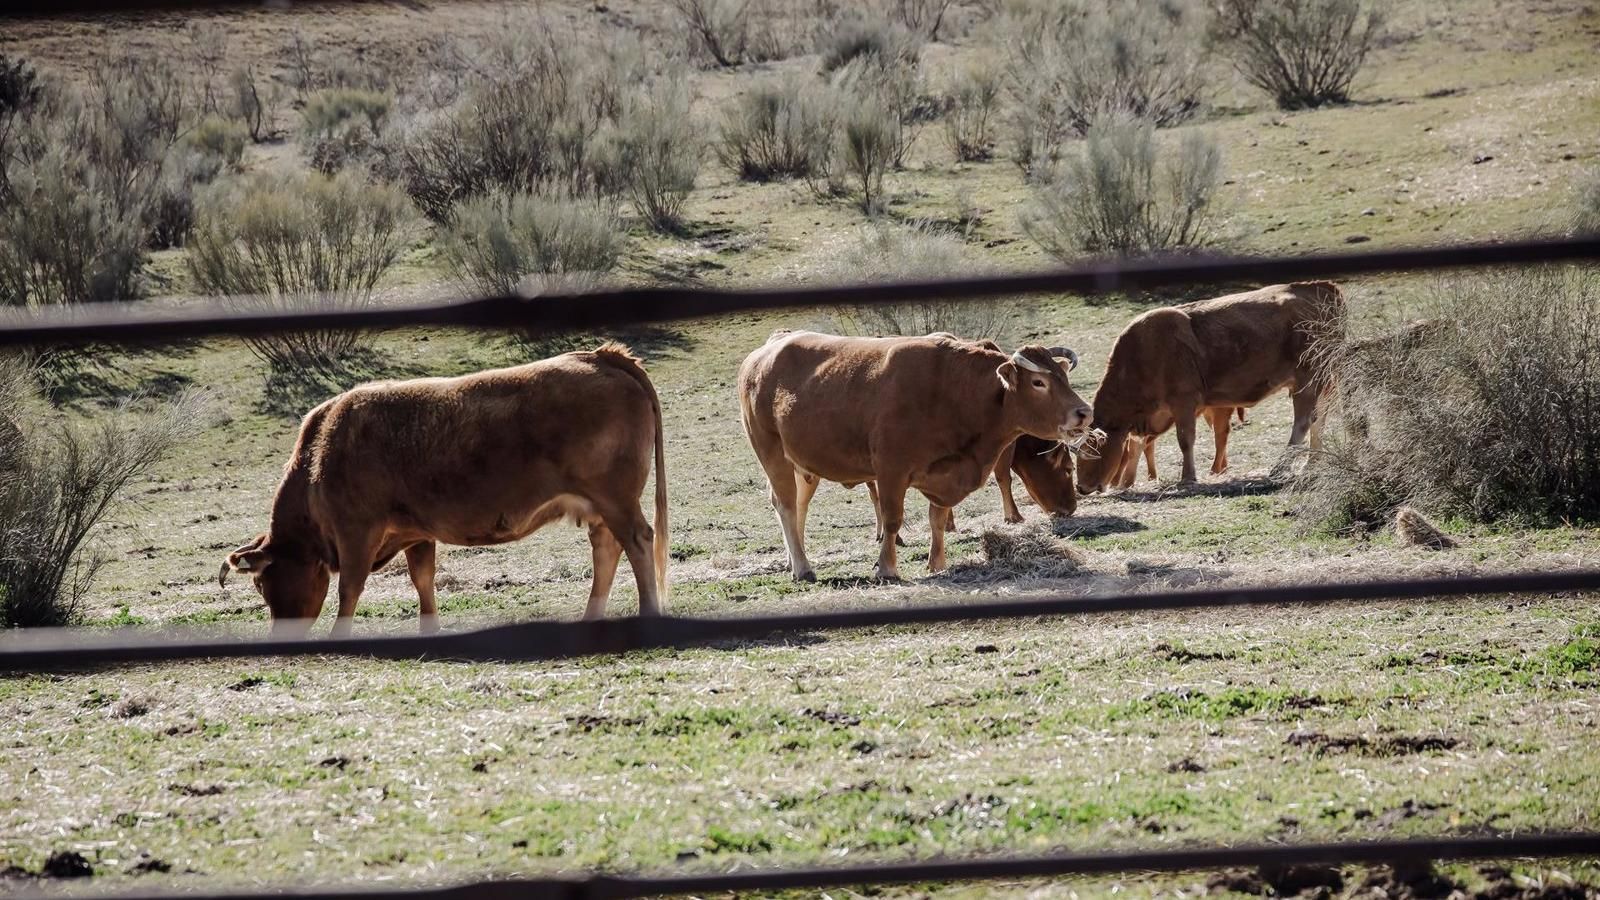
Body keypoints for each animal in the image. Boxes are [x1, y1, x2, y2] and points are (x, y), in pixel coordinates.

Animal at [219, 343, 669, 636]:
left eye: (262, 584)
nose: (280, 636)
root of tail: (600, 356)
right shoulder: (415, 534)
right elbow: (423, 581)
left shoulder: (356, 533)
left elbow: (349, 588)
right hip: (599, 508)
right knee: (607, 550)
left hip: (617, 500)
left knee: (637, 541)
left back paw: (649, 612)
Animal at [738, 331, 1093, 581]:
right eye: (1038, 382)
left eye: (1064, 378)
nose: (1084, 412)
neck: (953, 391)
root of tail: (765, 351)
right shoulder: (890, 470)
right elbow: (893, 519)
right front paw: (887, 568)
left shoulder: (945, 476)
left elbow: (937, 518)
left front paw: (937, 562)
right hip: (771, 452)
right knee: (785, 504)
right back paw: (803, 568)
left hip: (802, 463)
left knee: (797, 506)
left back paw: (793, 558)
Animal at [1077, 282, 1345, 492]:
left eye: (1089, 451)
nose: (1080, 487)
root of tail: (1321, 288)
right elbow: (1140, 444)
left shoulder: (1184, 402)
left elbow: (1185, 439)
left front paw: (1187, 478)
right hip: (1321, 382)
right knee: (1318, 420)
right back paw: (1312, 464)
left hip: (1307, 380)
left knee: (1303, 422)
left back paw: (1280, 468)